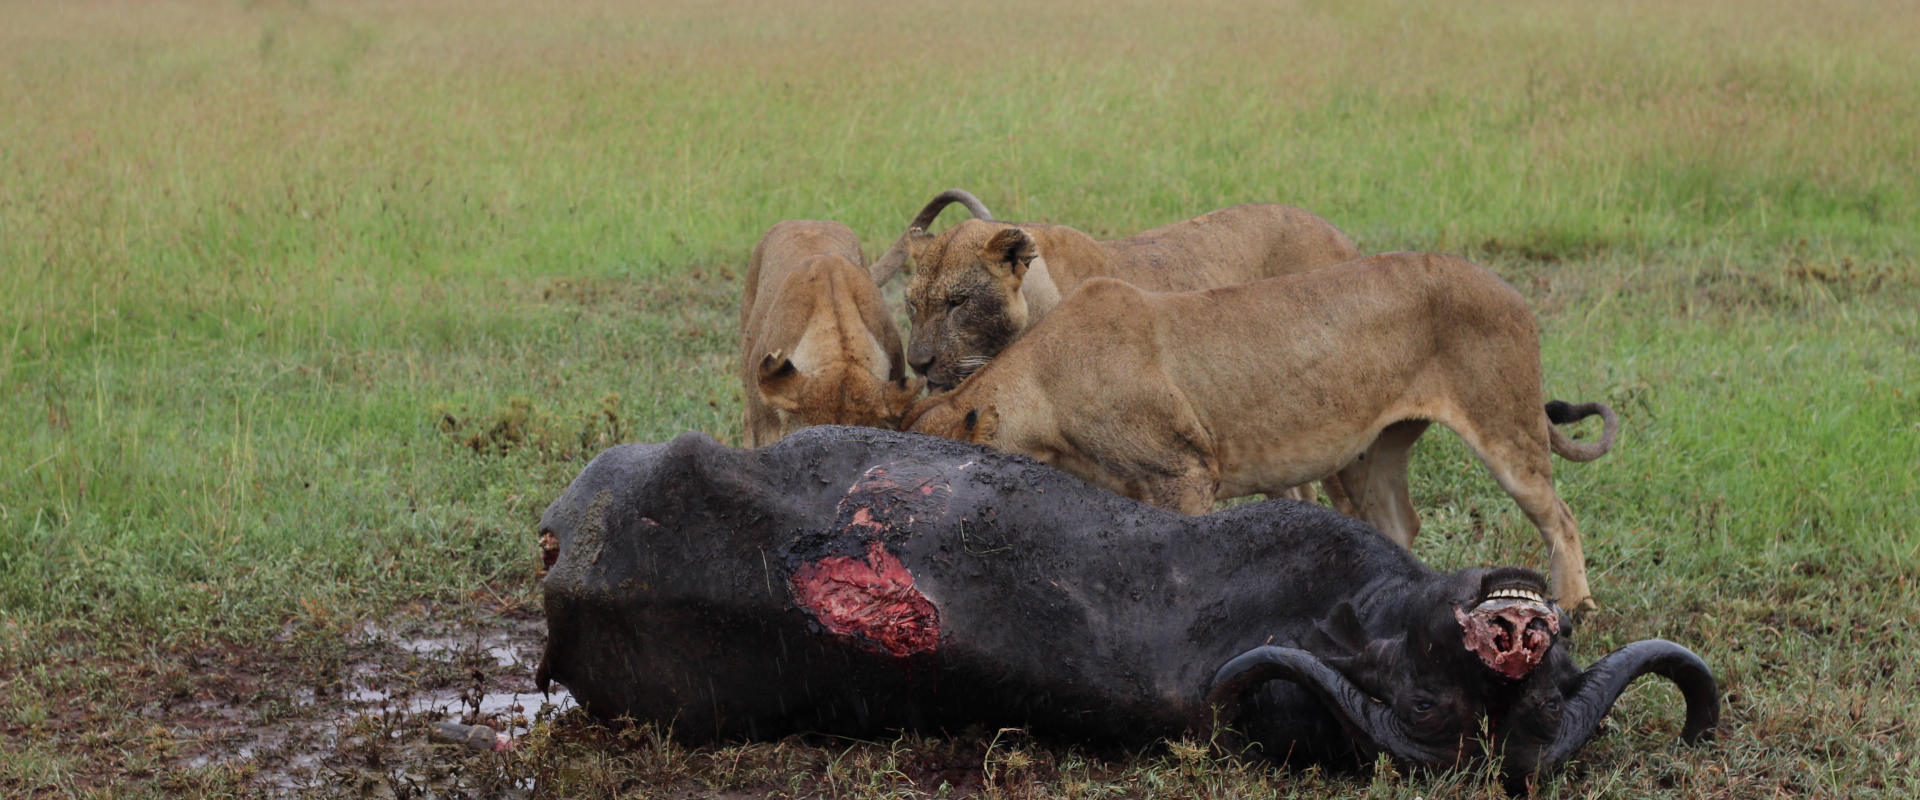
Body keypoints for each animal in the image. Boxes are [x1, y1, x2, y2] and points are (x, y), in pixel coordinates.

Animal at [910, 253, 1620, 606]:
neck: (1043, 388)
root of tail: (1508, 288)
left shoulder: (1186, 471)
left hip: (1505, 426)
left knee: (1560, 518)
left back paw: (1573, 609)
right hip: (1379, 446)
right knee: (1398, 522)